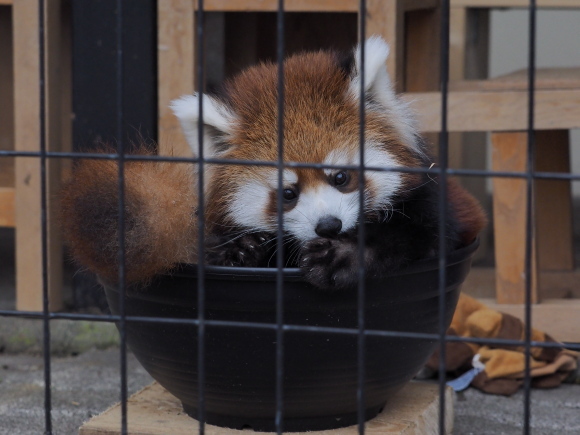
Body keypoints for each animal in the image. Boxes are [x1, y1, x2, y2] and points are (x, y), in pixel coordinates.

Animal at [61, 36, 484, 290]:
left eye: (341, 177)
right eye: (288, 193)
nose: (329, 226)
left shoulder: (431, 201)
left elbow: (420, 235)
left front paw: (343, 255)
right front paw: (239, 249)